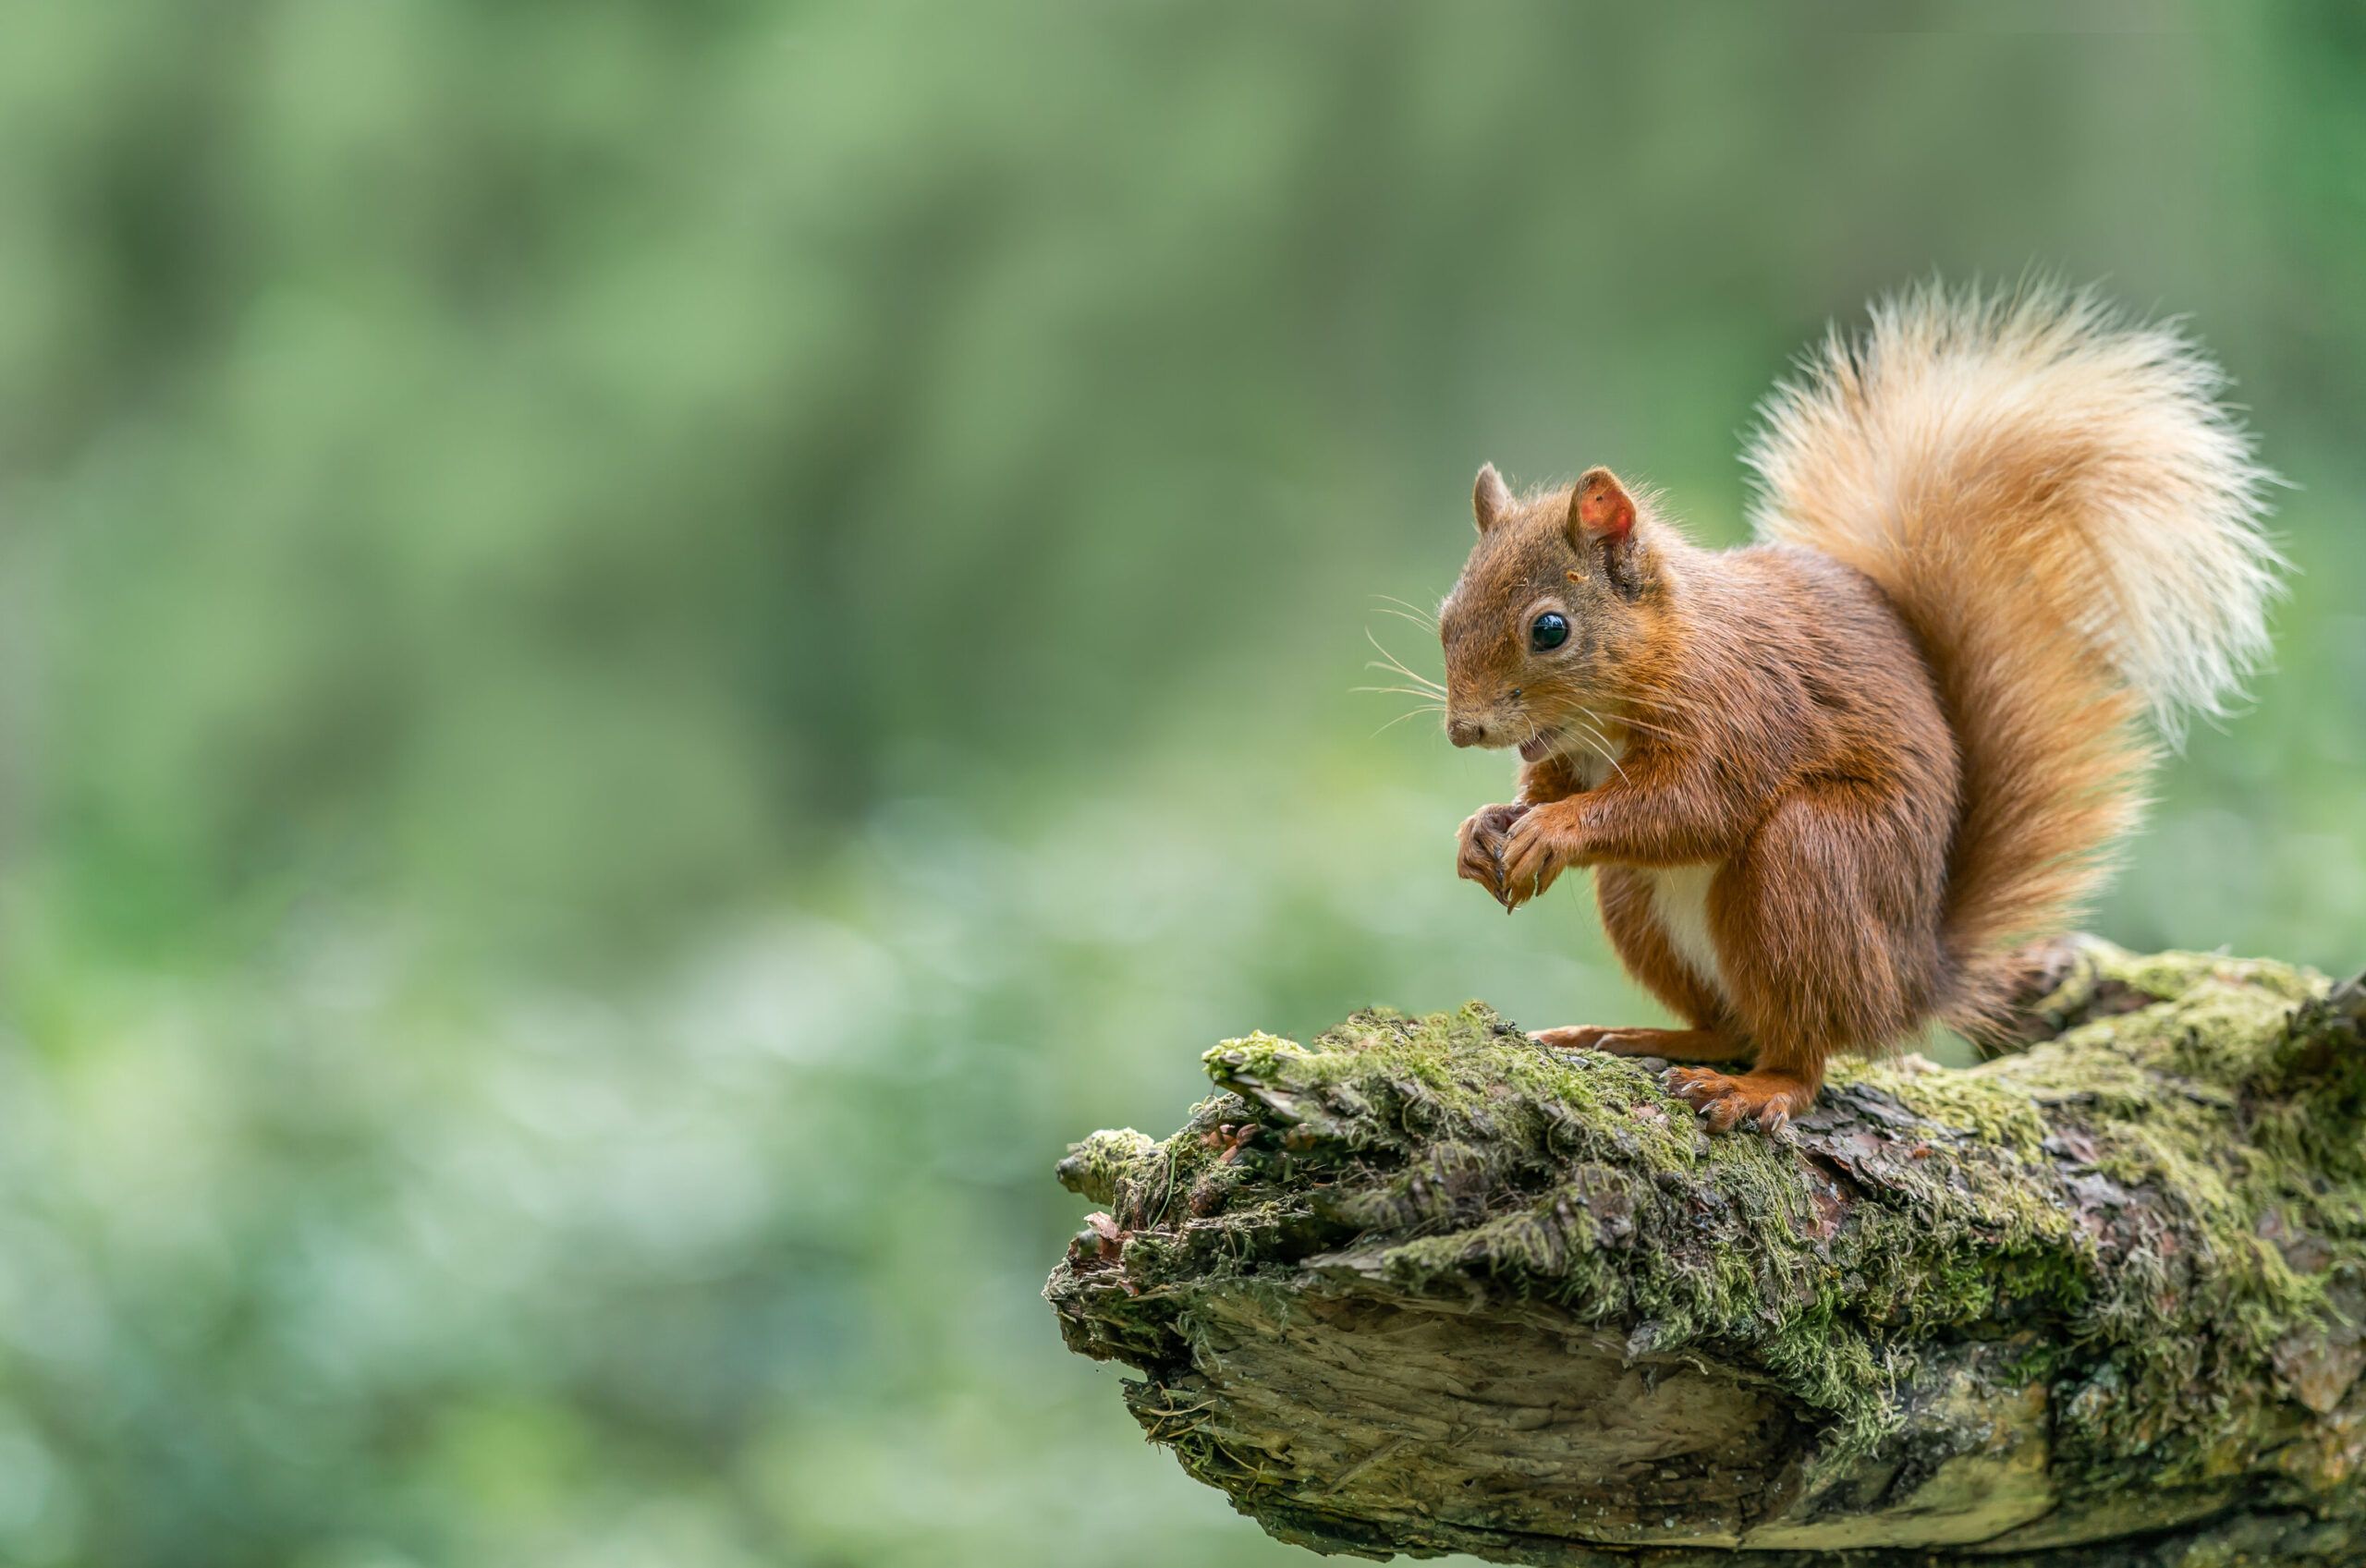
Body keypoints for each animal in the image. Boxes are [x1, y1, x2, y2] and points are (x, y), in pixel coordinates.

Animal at [1429, 282, 2280, 1135]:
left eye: (1550, 629)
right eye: (1445, 615)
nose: (1463, 730)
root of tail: (1910, 981)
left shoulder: (1742, 711)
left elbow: (1691, 805)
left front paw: (1551, 831)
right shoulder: (1572, 753)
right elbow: (1553, 788)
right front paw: (1484, 829)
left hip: (1809, 860)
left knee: (1802, 1048)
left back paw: (1756, 1087)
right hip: (1639, 899)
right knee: (1731, 1026)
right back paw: (1643, 1034)